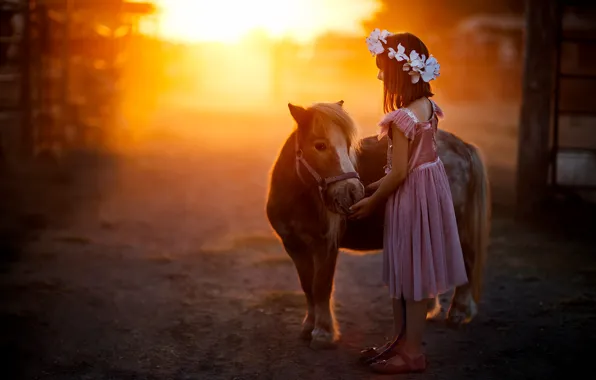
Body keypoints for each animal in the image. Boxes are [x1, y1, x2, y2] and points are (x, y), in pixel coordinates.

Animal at [268, 101, 492, 350]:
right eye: (320, 145)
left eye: (347, 145)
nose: (353, 192)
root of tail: (463, 147)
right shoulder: (294, 247)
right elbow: (307, 286)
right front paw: (308, 327)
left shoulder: (325, 247)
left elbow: (321, 287)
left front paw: (323, 333)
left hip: (457, 227)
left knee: (468, 261)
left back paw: (458, 313)